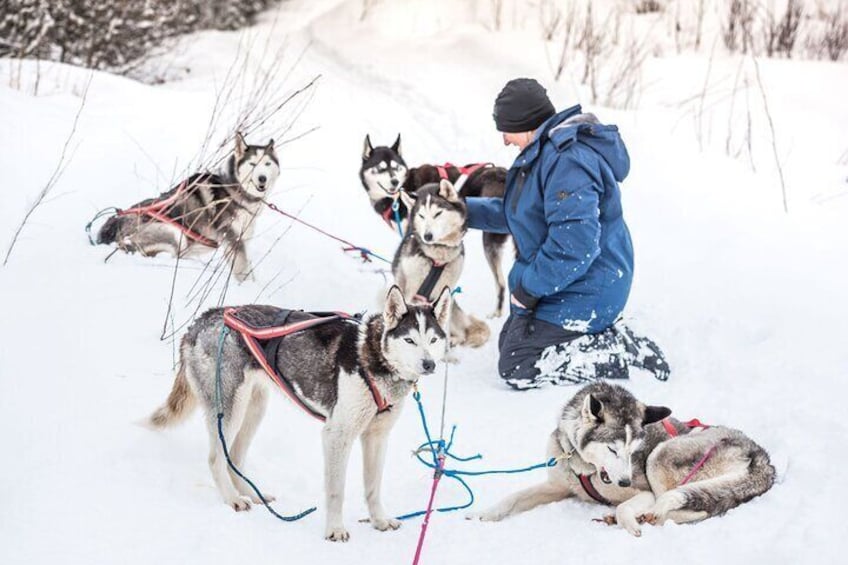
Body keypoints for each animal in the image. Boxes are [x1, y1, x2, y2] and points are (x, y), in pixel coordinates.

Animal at [96, 133, 280, 282]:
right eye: (253, 164)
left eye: (267, 164)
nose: (262, 178)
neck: (233, 189)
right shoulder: (234, 240)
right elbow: (244, 272)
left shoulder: (242, 239)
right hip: (173, 233)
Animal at [147, 286, 450, 540]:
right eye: (410, 340)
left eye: (433, 339)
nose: (429, 364)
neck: (372, 356)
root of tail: (205, 317)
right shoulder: (337, 435)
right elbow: (336, 490)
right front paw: (335, 530)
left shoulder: (377, 437)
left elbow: (373, 486)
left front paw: (379, 521)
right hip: (230, 406)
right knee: (216, 459)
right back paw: (232, 498)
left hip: (255, 407)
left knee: (234, 456)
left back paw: (251, 494)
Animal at [392, 183, 490, 346]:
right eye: (421, 216)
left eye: (438, 214)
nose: (427, 236)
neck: (437, 256)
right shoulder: (411, 291)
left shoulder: (447, 293)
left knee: (462, 333)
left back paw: (454, 340)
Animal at [476, 382, 776, 536]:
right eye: (613, 449)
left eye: (633, 451)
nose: (624, 482)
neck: (585, 467)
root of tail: (764, 458)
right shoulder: (557, 487)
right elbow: (513, 498)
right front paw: (483, 514)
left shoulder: (644, 491)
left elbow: (624, 508)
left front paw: (629, 520)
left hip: (660, 456)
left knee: (690, 510)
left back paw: (641, 517)